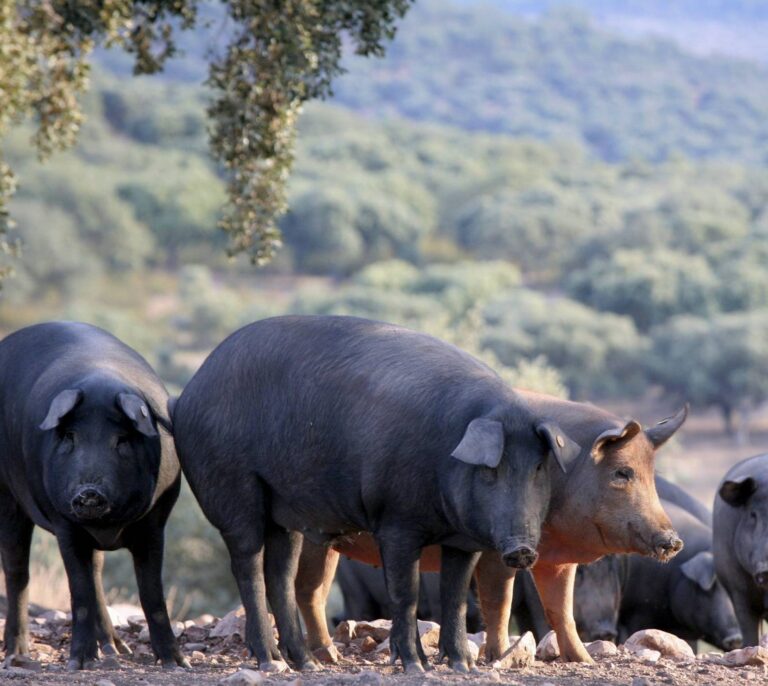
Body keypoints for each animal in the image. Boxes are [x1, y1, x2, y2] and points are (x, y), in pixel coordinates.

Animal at [0, 322, 186, 670]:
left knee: (97, 572)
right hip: (7, 496)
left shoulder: (155, 523)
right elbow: (79, 592)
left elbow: (152, 593)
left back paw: (116, 651)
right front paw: (79, 663)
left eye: (122, 439)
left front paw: (177, 663)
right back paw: (16, 655)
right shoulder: (65, 525)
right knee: (17, 571)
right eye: (70, 436)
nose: (88, 492)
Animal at [172, 315, 580, 673]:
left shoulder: (461, 540)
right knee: (247, 564)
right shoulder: (395, 522)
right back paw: (270, 663)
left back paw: (304, 664)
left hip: (282, 512)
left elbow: (454, 598)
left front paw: (463, 667)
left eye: (538, 468)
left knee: (280, 574)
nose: (522, 549)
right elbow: (406, 593)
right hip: (232, 489)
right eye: (492, 469)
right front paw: (415, 667)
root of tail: (189, 393)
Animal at [297, 391, 685, 664]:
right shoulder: (498, 549)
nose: (673, 540)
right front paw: (498, 657)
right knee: (305, 590)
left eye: (651, 475)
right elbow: (501, 599)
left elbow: (561, 610)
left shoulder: (556, 560)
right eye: (622, 473)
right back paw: (323, 656)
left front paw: (584, 661)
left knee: (315, 592)